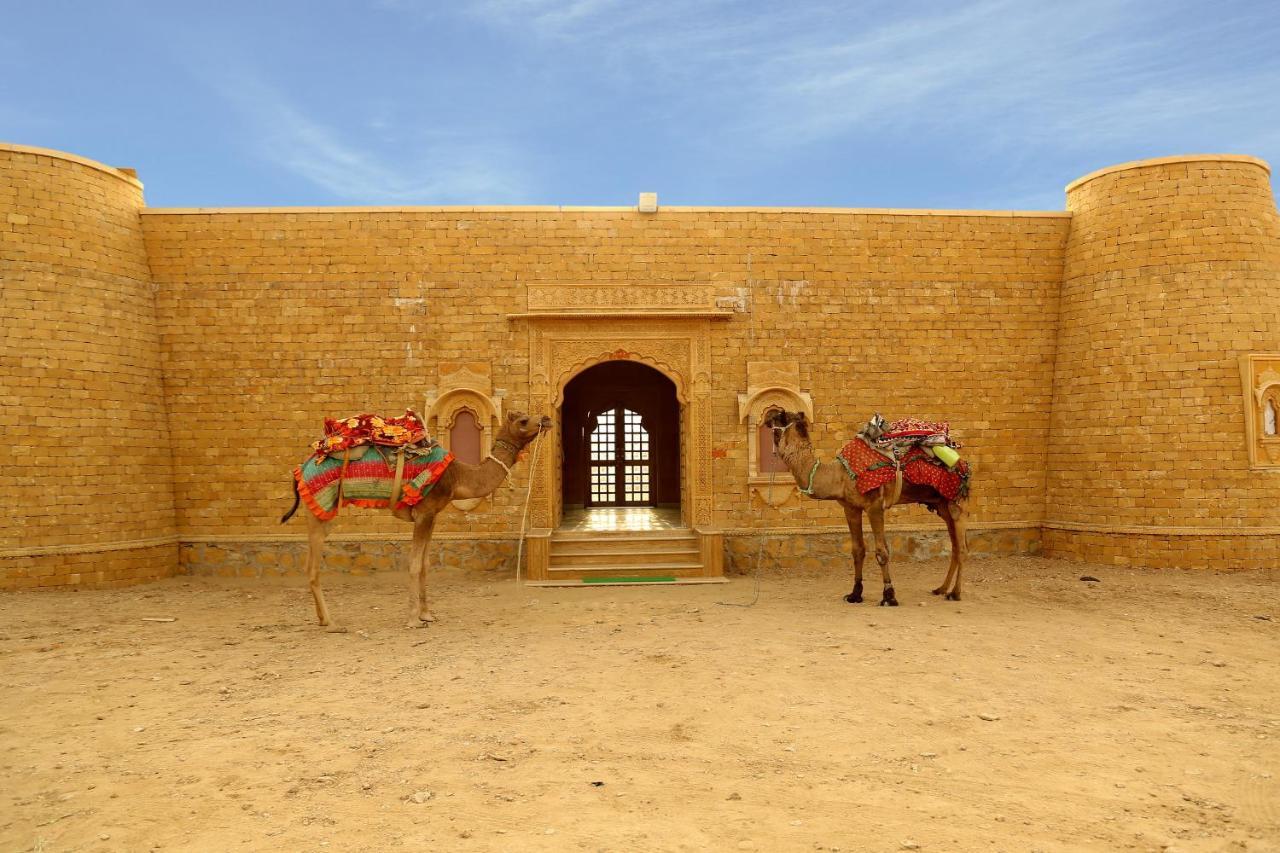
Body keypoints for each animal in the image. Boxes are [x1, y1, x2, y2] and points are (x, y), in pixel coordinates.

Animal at [282, 409, 552, 627]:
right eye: (524, 420)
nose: (547, 419)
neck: (457, 476)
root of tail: (301, 470)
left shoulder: (431, 515)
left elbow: (424, 565)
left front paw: (427, 614)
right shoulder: (423, 512)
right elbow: (413, 564)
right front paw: (413, 619)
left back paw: (321, 619)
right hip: (319, 506)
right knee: (312, 567)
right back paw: (331, 623)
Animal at [762, 409, 962, 604]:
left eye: (779, 417)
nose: (766, 417)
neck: (840, 476)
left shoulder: (874, 506)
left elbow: (882, 551)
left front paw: (889, 595)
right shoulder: (851, 508)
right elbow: (857, 550)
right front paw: (855, 594)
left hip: (956, 501)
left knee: (962, 544)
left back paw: (955, 593)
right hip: (940, 504)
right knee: (955, 545)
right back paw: (941, 589)